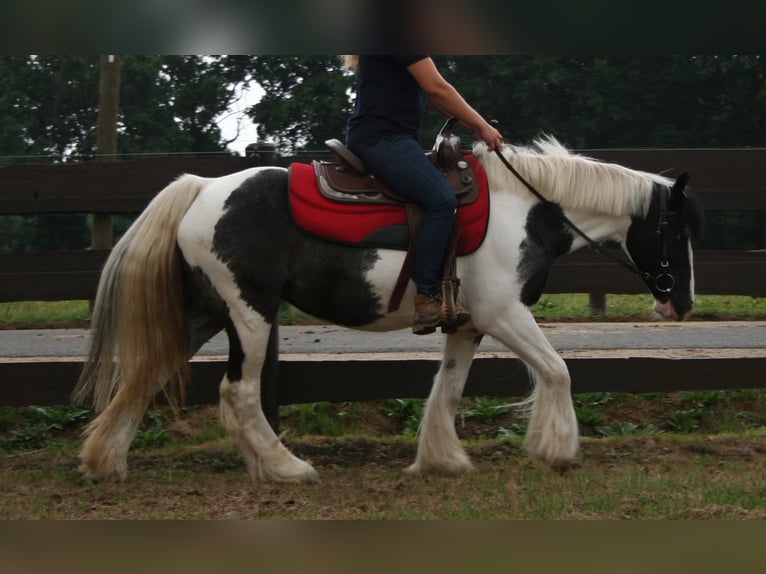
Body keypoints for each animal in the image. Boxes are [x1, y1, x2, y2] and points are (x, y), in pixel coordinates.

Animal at [75, 137, 704, 484]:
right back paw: (286, 468)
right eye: (675, 230)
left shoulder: (468, 325)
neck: (528, 210)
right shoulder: (504, 314)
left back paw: (107, 461)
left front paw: (442, 460)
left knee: (146, 375)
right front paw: (557, 450)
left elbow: (448, 391)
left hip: (205, 314)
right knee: (240, 392)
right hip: (249, 313)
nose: (681, 302)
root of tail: (201, 187)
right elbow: (557, 370)